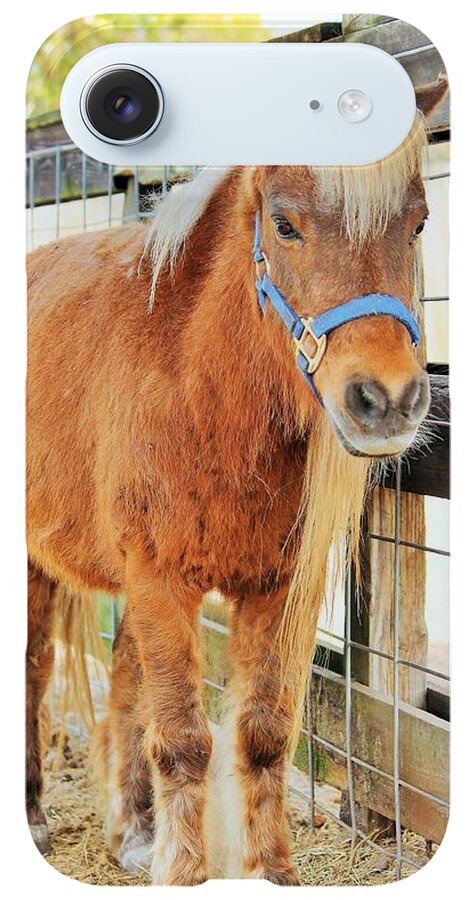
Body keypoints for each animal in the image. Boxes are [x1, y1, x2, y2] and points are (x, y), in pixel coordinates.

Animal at [26, 76, 448, 884]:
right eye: (283, 226)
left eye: (417, 225)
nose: (386, 400)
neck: (200, 391)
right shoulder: (160, 578)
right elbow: (185, 740)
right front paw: (187, 874)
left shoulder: (275, 589)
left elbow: (262, 734)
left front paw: (269, 872)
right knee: (35, 669)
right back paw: (33, 813)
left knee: (124, 681)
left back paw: (133, 830)